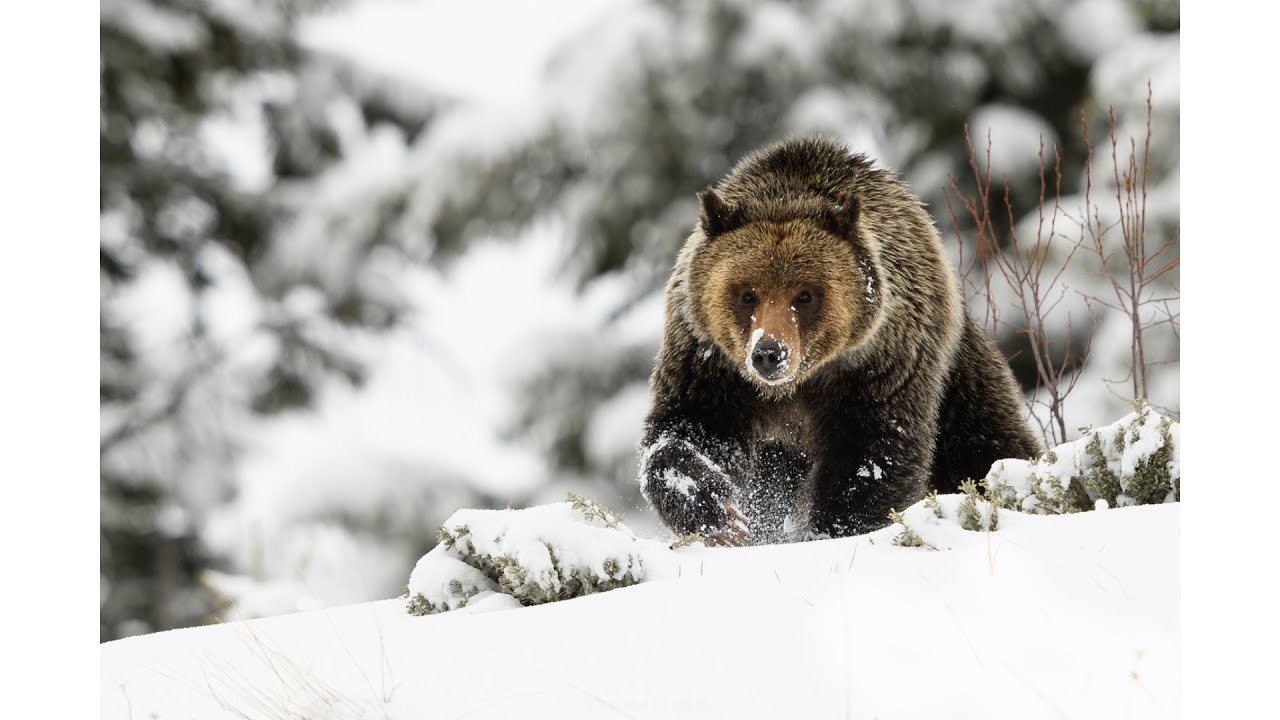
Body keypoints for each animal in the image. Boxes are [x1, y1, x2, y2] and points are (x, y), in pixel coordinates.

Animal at [638, 136, 1043, 545]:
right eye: (747, 293)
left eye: (804, 295)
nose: (769, 353)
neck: (798, 385)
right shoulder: (710, 363)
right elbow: (688, 433)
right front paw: (720, 515)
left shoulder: (878, 369)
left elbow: (871, 457)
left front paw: (833, 531)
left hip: (959, 379)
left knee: (985, 444)